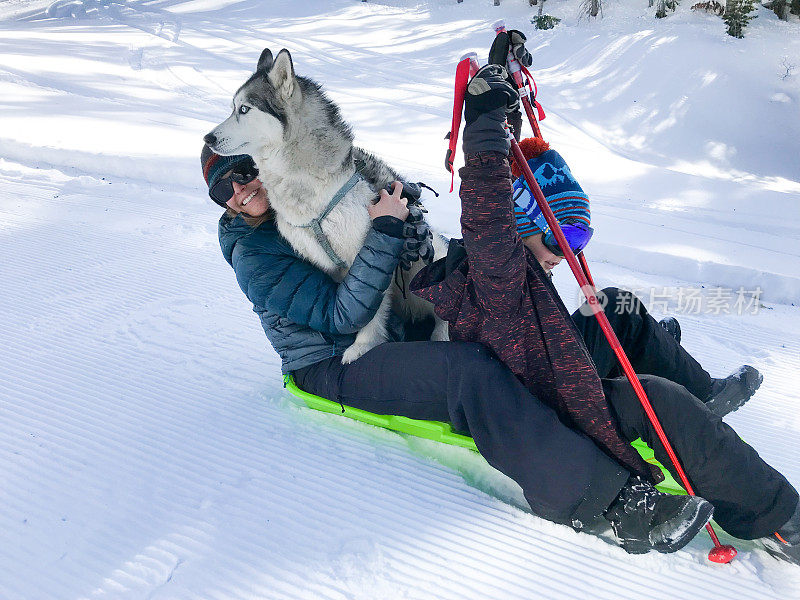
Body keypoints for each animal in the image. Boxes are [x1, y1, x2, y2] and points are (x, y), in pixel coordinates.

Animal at [205, 48, 450, 360]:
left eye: (244, 109)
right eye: (232, 108)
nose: (207, 137)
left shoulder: (360, 251)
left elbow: (369, 309)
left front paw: (362, 346)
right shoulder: (328, 266)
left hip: (422, 261)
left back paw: (442, 334)